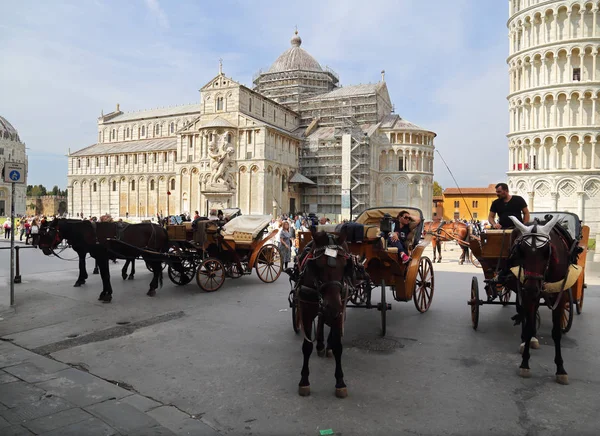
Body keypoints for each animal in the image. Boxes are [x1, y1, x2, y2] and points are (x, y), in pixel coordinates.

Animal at [38, 220, 175, 302]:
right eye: (42, 232)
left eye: (50, 232)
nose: (43, 248)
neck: (89, 233)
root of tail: (162, 228)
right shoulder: (100, 257)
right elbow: (104, 275)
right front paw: (105, 292)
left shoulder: (100, 256)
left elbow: (104, 275)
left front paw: (106, 294)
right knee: (156, 268)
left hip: (149, 253)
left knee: (156, 269)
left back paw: (151, 287)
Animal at [296, 228, 354, 398]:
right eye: (317, 266)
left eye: (345, 265)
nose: (332, 307)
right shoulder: (306, 311)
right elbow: (307, 346)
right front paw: (304, 381)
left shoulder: (339, 311)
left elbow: (338, 346)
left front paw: (340, 382)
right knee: (322, 319)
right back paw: (321, 344)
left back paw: (326, 346)